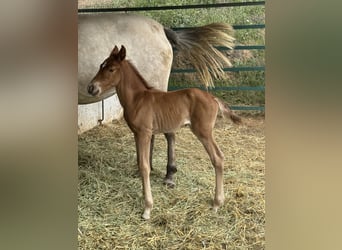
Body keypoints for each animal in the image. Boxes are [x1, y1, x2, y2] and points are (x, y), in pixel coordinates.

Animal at [88, 46, 243, 220]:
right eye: (101, 65)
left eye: (111, 69)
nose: (91, 88)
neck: (137, 99)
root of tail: (213, 98)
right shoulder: (136, 133)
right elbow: (140, 163)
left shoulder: (145, 133)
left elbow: (145, 166)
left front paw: (147, 208)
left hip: (203, 132)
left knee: (217, 158)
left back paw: (216, 203)